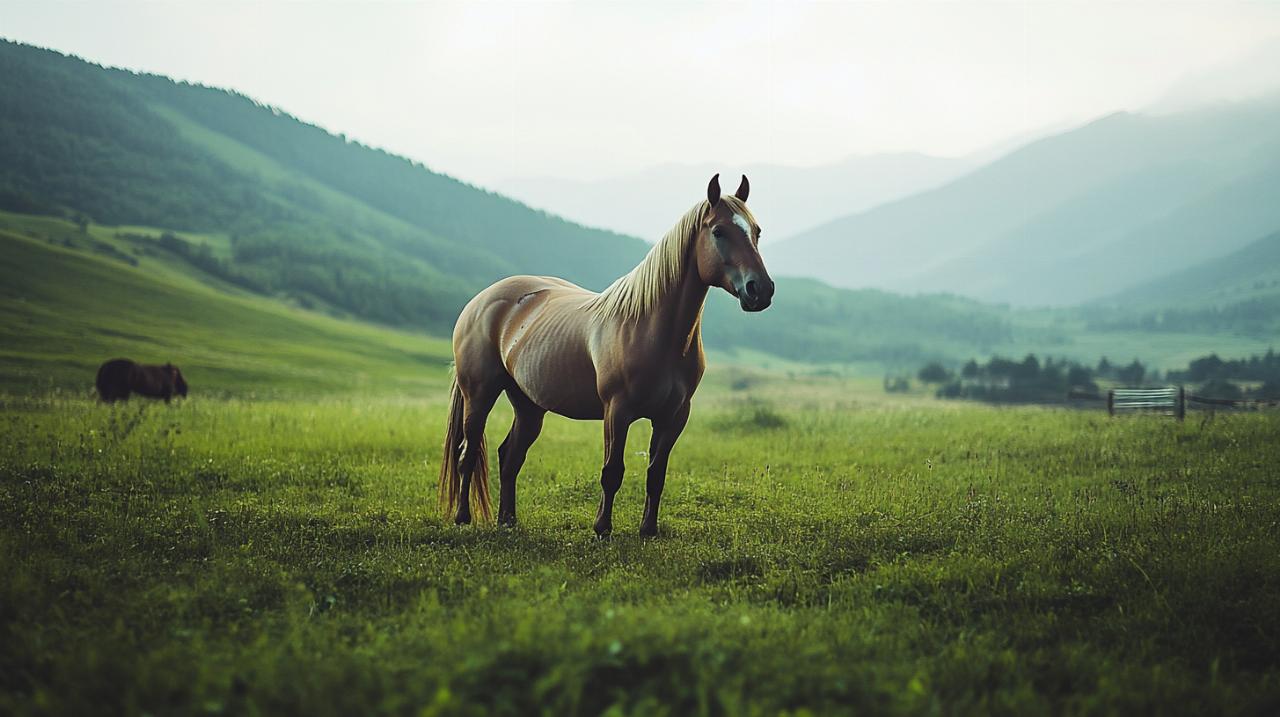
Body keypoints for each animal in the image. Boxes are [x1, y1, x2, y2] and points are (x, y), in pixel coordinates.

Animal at [439, 174, 774, 536]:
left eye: (756, 231)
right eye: (719, 232)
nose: (761, 290)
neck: (651, 329)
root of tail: (480, 301)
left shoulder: (674, 417)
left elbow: (656, 475)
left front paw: (648, 530)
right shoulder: (617, 411)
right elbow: (612, 471)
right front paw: (602, 527)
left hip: (528, 405)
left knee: (509, 457)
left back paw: (508, 521)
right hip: (479, 395)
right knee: (468, 453)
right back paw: (463, 517)